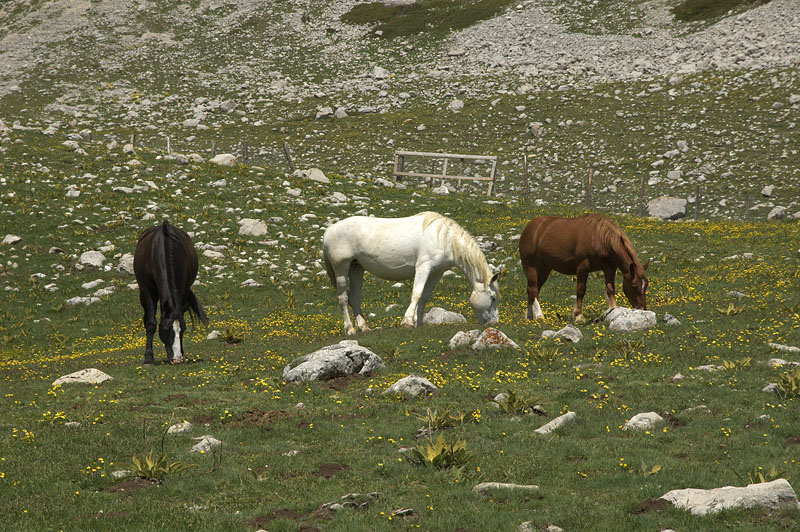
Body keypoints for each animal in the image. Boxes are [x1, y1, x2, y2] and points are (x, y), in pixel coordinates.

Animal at [133, 220, 206, 366]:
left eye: (183, 329)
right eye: (166, 329)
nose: (177, 359)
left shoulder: (182, 289)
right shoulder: (148, 290)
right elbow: (151, 323)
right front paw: (148, 359)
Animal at [320, 211, 496, 332]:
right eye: (493, 298)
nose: (495, 323)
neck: (443, 238)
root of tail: (329, 230)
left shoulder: (436, 272)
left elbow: (424, 297)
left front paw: (419, 324)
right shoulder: (423, 267)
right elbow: (416, 294)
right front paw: (407, 322)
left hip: (356, 268)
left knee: (355, 298)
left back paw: (364, 328)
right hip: (341, 269)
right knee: (342, 298)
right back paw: (350, 330)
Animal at [520, 211, 648, 320]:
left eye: (646, 285)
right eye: (633, 285)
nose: (642, 309)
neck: (599, 237)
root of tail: (529, 228)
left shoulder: (609, 267)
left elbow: (610, 289)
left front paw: (612, 309)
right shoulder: (583, 266)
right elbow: (581, 290)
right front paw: (578, 315)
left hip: (545, 267)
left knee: (533, 288)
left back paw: (530, 316)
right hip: (531, 265)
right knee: (533, 288)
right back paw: (539, 315)